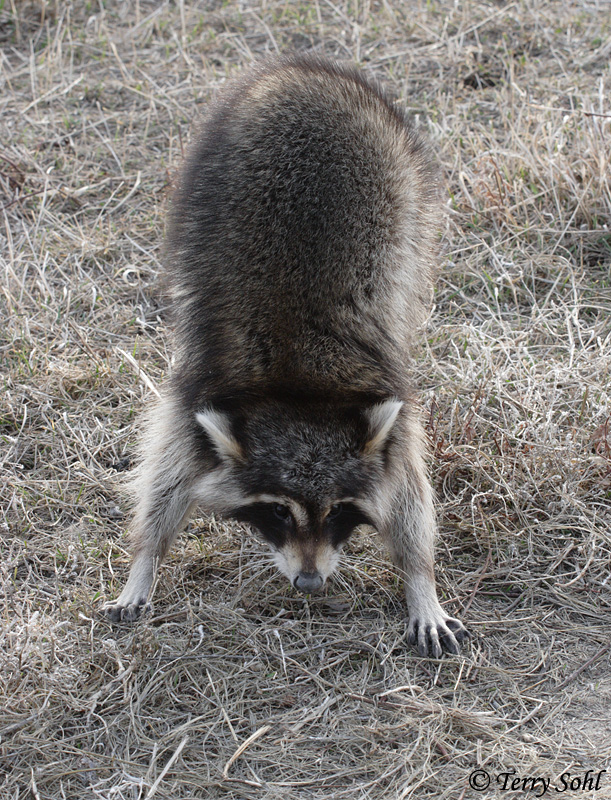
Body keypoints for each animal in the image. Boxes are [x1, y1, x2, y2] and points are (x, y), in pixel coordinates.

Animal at [103, 55, 469, 657]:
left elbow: (410, 495)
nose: (309, 584)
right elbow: (166, 477)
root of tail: (301, 71)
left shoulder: (393, 414)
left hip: (415, 195)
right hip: (203, 177)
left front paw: (421, 578)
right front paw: (145, 559)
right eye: (277, 510)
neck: (300, 392)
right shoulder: (199, 397)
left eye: (340, 511)